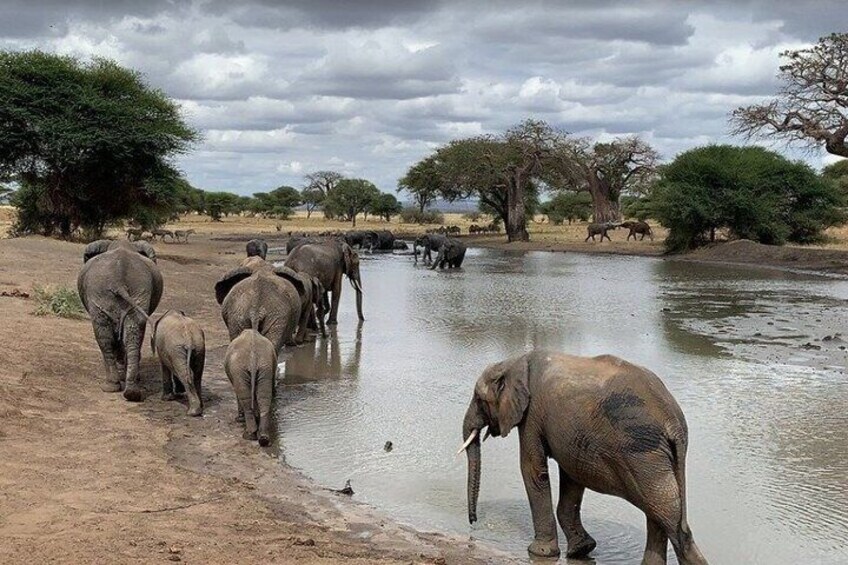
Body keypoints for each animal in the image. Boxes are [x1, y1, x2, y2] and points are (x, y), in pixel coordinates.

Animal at [77, 239, 163, 402]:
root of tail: (118, 282)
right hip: (135, 292)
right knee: (131, 334)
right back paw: (131, 391)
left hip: (102, 292)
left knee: (106, 337)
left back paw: (112, 386)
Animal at [459, 350, 708, 564]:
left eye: (478, 398)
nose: (473, 523)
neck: (514, 361)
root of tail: (674, 422)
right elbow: (572, 477)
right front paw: (581, 550)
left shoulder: (532, 415)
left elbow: (533, 470)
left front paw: (540, 553)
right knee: (659, 511)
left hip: (641, 452)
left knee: (665, 513)